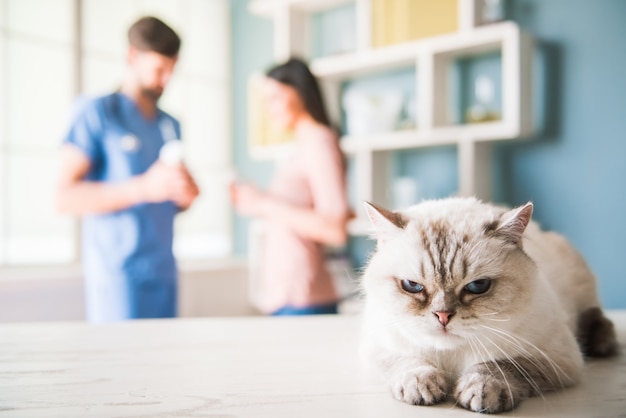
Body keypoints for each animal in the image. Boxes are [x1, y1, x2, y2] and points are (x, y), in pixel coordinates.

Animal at [358, 198, 616, 414]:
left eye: (478, 286)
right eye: (412, 285)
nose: (443, 315)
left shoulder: (556, 358)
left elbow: (499, 365)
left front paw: (482, 390)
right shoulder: (377, 345)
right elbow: (407, 362)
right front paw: (421, 384)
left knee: (596, 316)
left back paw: (601, 342)